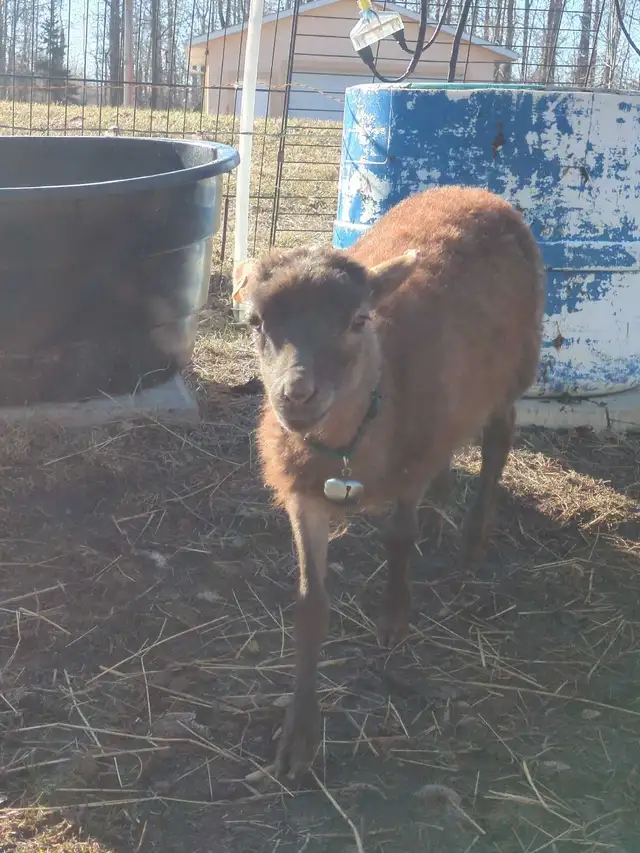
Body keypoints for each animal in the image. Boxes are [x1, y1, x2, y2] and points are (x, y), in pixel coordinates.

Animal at [232, 185, 545, 780]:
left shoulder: (408, 470)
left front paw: (394, 619)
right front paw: (299, 736)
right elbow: (311, 604)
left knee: (498, 438)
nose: (296, 395)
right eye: (257, 322)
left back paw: (472, 537)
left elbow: (399, 538)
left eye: (358, 319)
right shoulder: (303, 497)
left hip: (514, 366)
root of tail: (475, 190)